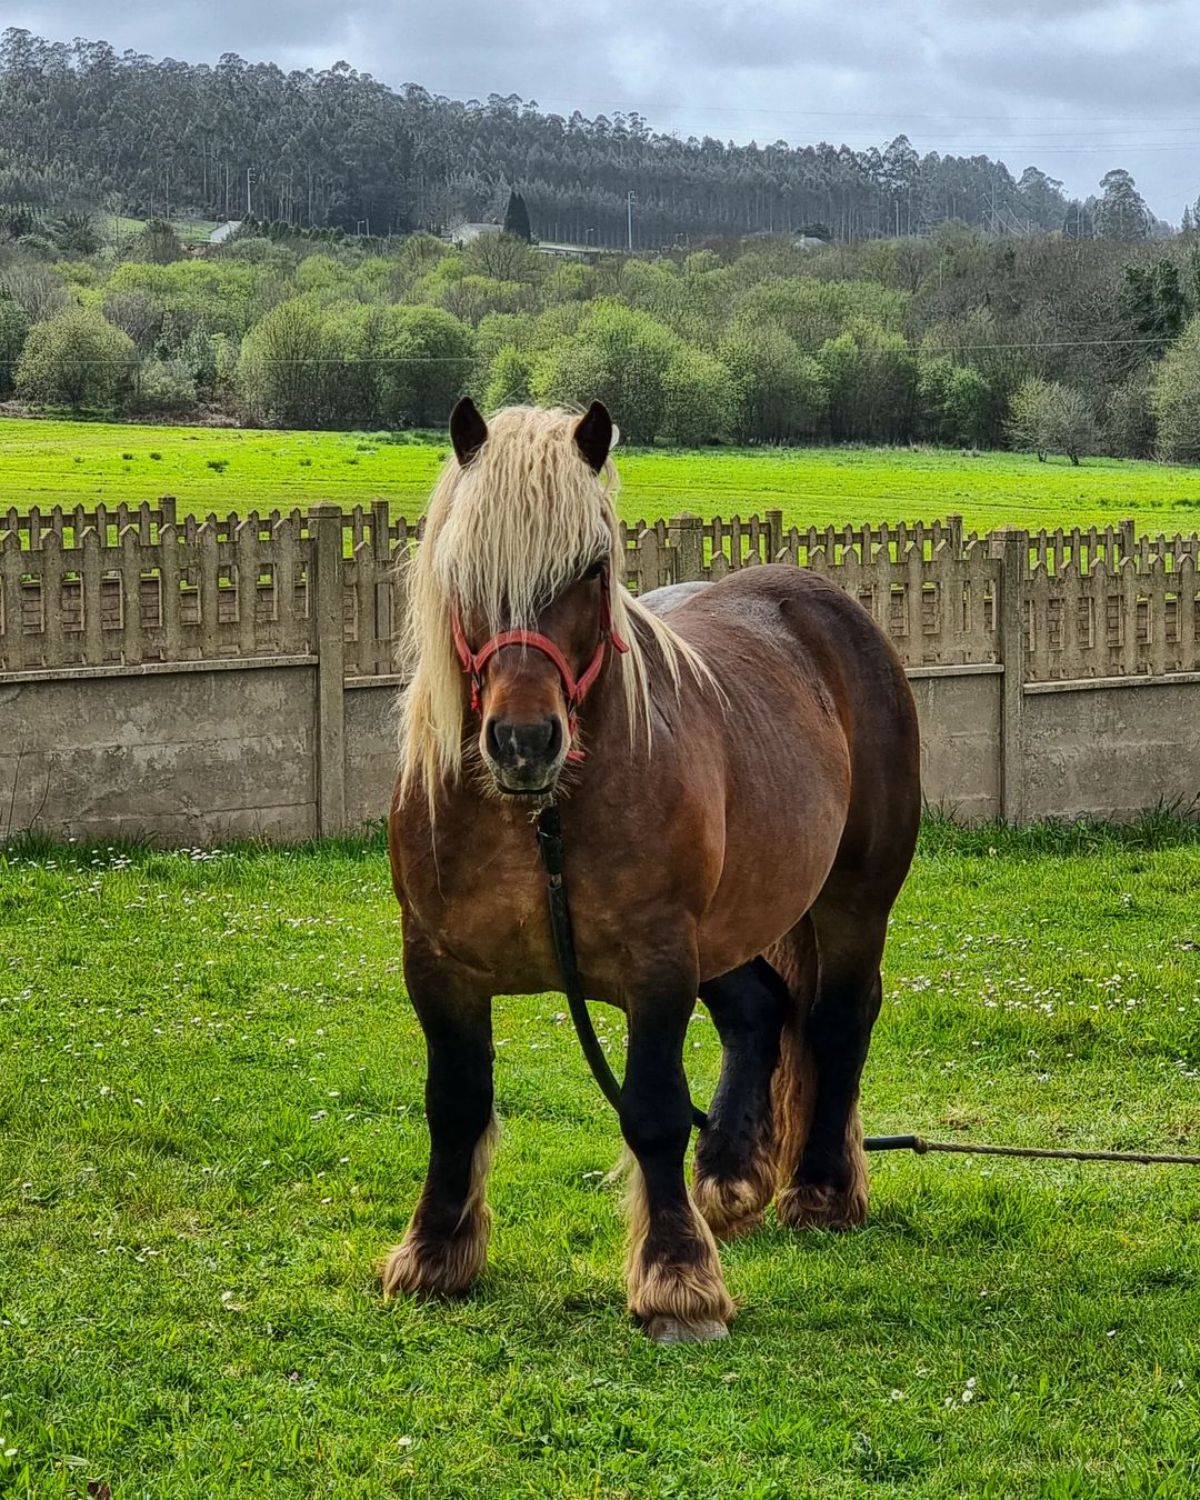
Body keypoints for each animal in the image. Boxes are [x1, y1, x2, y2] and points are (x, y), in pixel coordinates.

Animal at [384, 402, 918, 1350]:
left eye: (593, 567)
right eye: (462, 568)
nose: (524, 741)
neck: (542, 821)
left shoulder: (658, 962)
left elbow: (654, 1110)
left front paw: (678, 1282)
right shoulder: (438, 967)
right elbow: (455, 1101)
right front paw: (435, 1255)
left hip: (851, 902)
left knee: (836, 1020)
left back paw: (819, 1189)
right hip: (728, 931)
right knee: (761, 1011)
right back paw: (731, 1177)